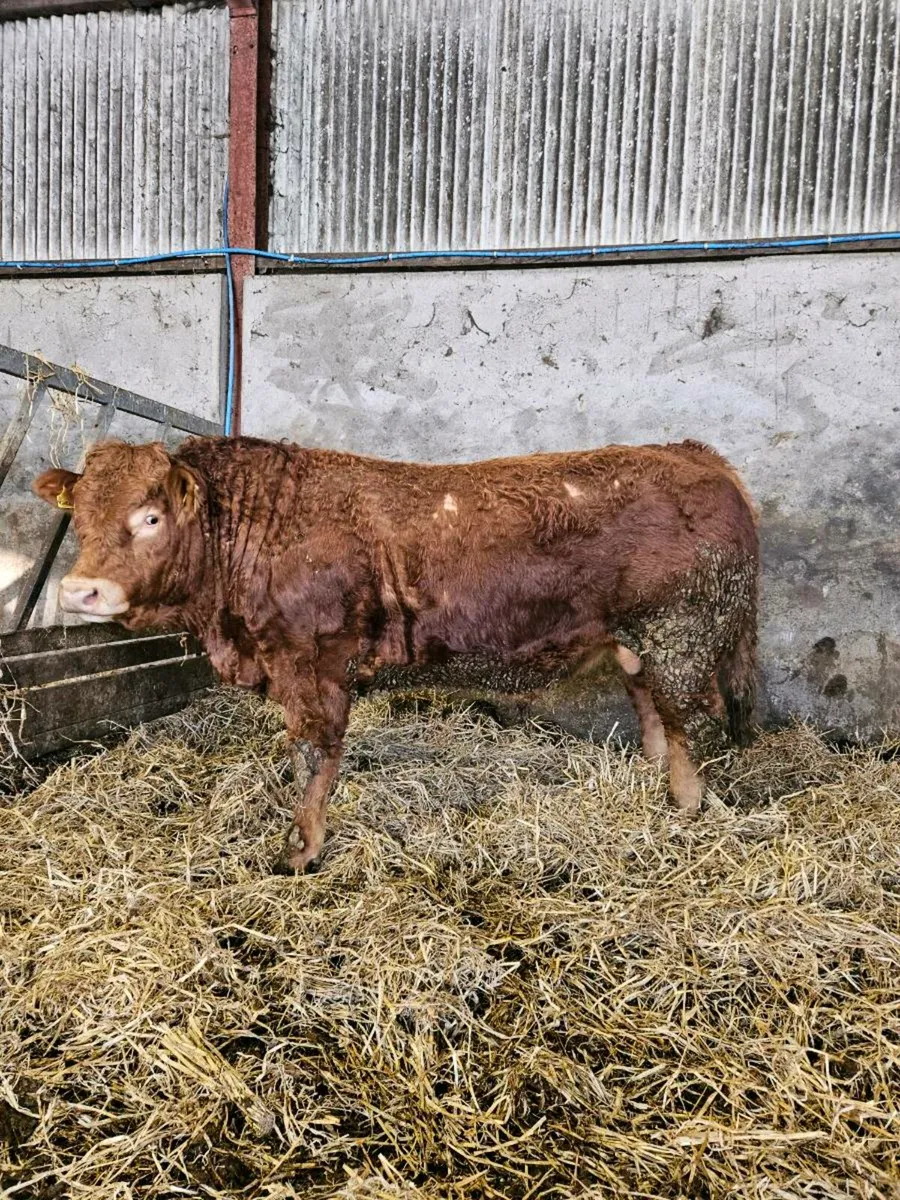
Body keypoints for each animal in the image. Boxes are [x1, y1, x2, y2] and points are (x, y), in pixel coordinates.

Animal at [33, 435, 758, 874]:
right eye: (80, 516)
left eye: (151, 516)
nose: (79, 590)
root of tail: (695, 454)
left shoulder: (314, 662)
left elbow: (314, 757)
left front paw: (302, 850)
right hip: (635, 642)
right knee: (654, 712)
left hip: (682, 632)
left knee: (687, 721)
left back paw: (686, 807)